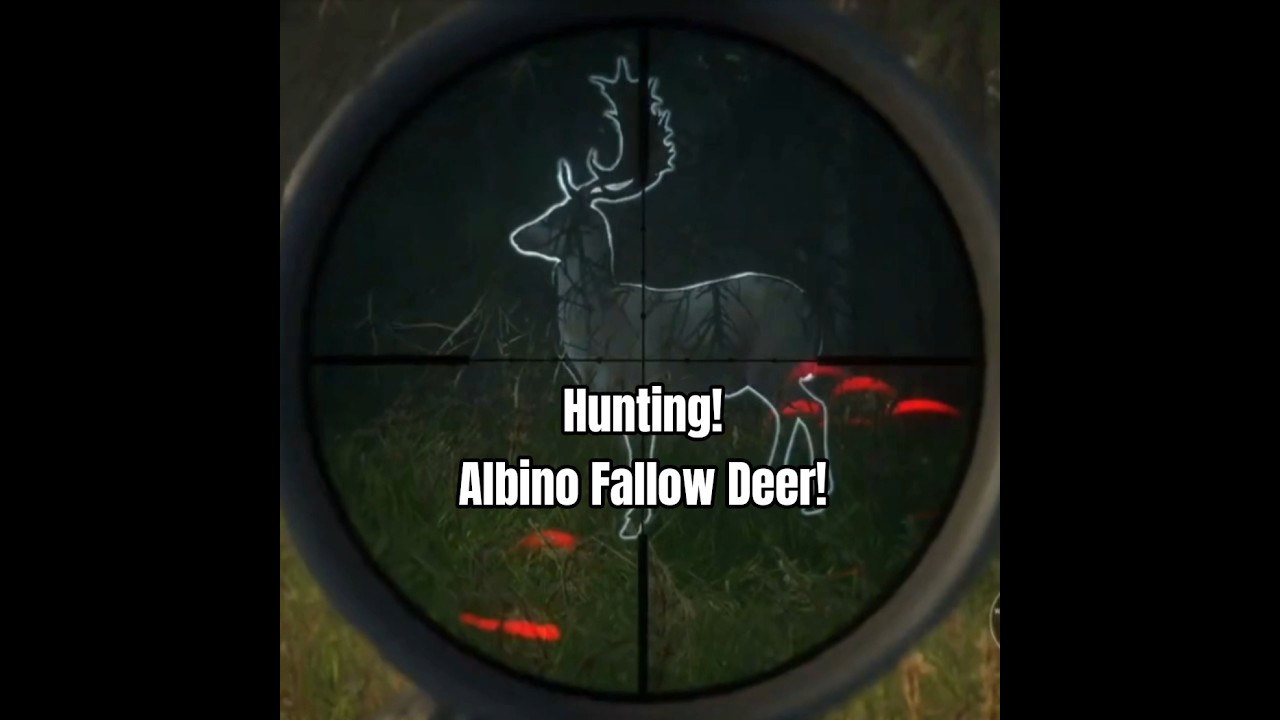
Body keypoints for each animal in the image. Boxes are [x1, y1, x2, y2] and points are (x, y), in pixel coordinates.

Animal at [507, 56, 835, 541]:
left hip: (774, 358)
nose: (517, 235)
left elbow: (640, 457)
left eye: (555, 215)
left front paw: (633, 524)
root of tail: (813, 312)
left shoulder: (638, 380)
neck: (598, 325)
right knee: (797, 413)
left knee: (804, 411)